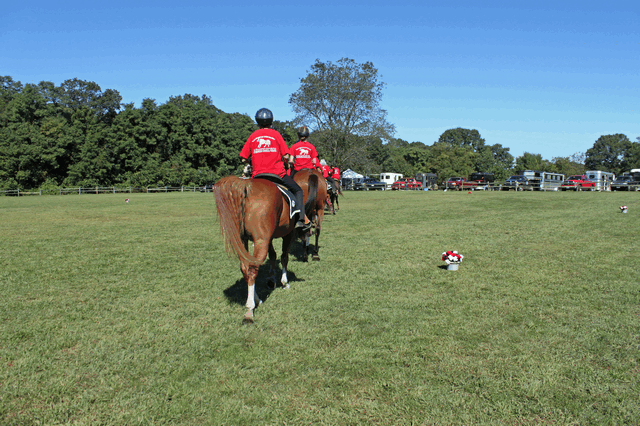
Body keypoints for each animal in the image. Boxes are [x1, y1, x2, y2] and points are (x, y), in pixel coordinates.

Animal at [213, 175, 299, 323]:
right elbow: (284, 257)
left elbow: (273, 255)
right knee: (253, 268)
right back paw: (250, 308)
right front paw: (284, 282)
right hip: (261, 241)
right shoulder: (289, 233)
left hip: (243, 240)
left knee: (245, 268)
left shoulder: (269, 238)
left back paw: (257, 299)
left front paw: (272, 280)